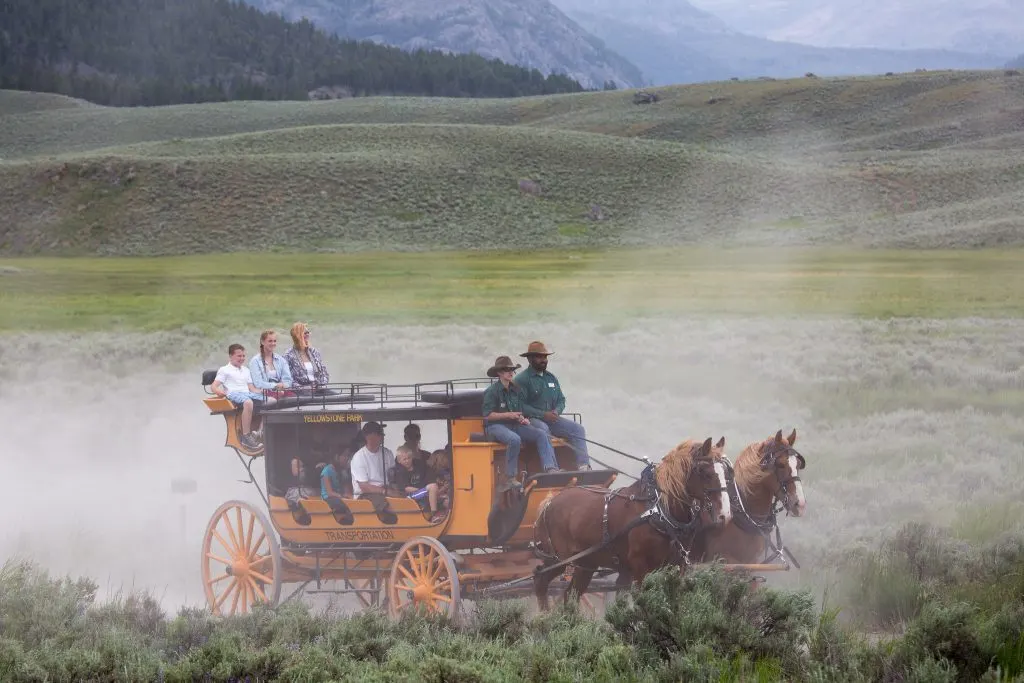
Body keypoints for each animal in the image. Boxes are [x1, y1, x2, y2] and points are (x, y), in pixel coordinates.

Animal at [532, 436, 733, 610]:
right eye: (704, 472)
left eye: (726, 472)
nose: (725, 515)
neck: (659, 511)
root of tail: (550, 502)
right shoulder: (640, 568)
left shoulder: (677, 567)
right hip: (559, 560)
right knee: (540, 580)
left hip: (586, 563)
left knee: (569, 596)